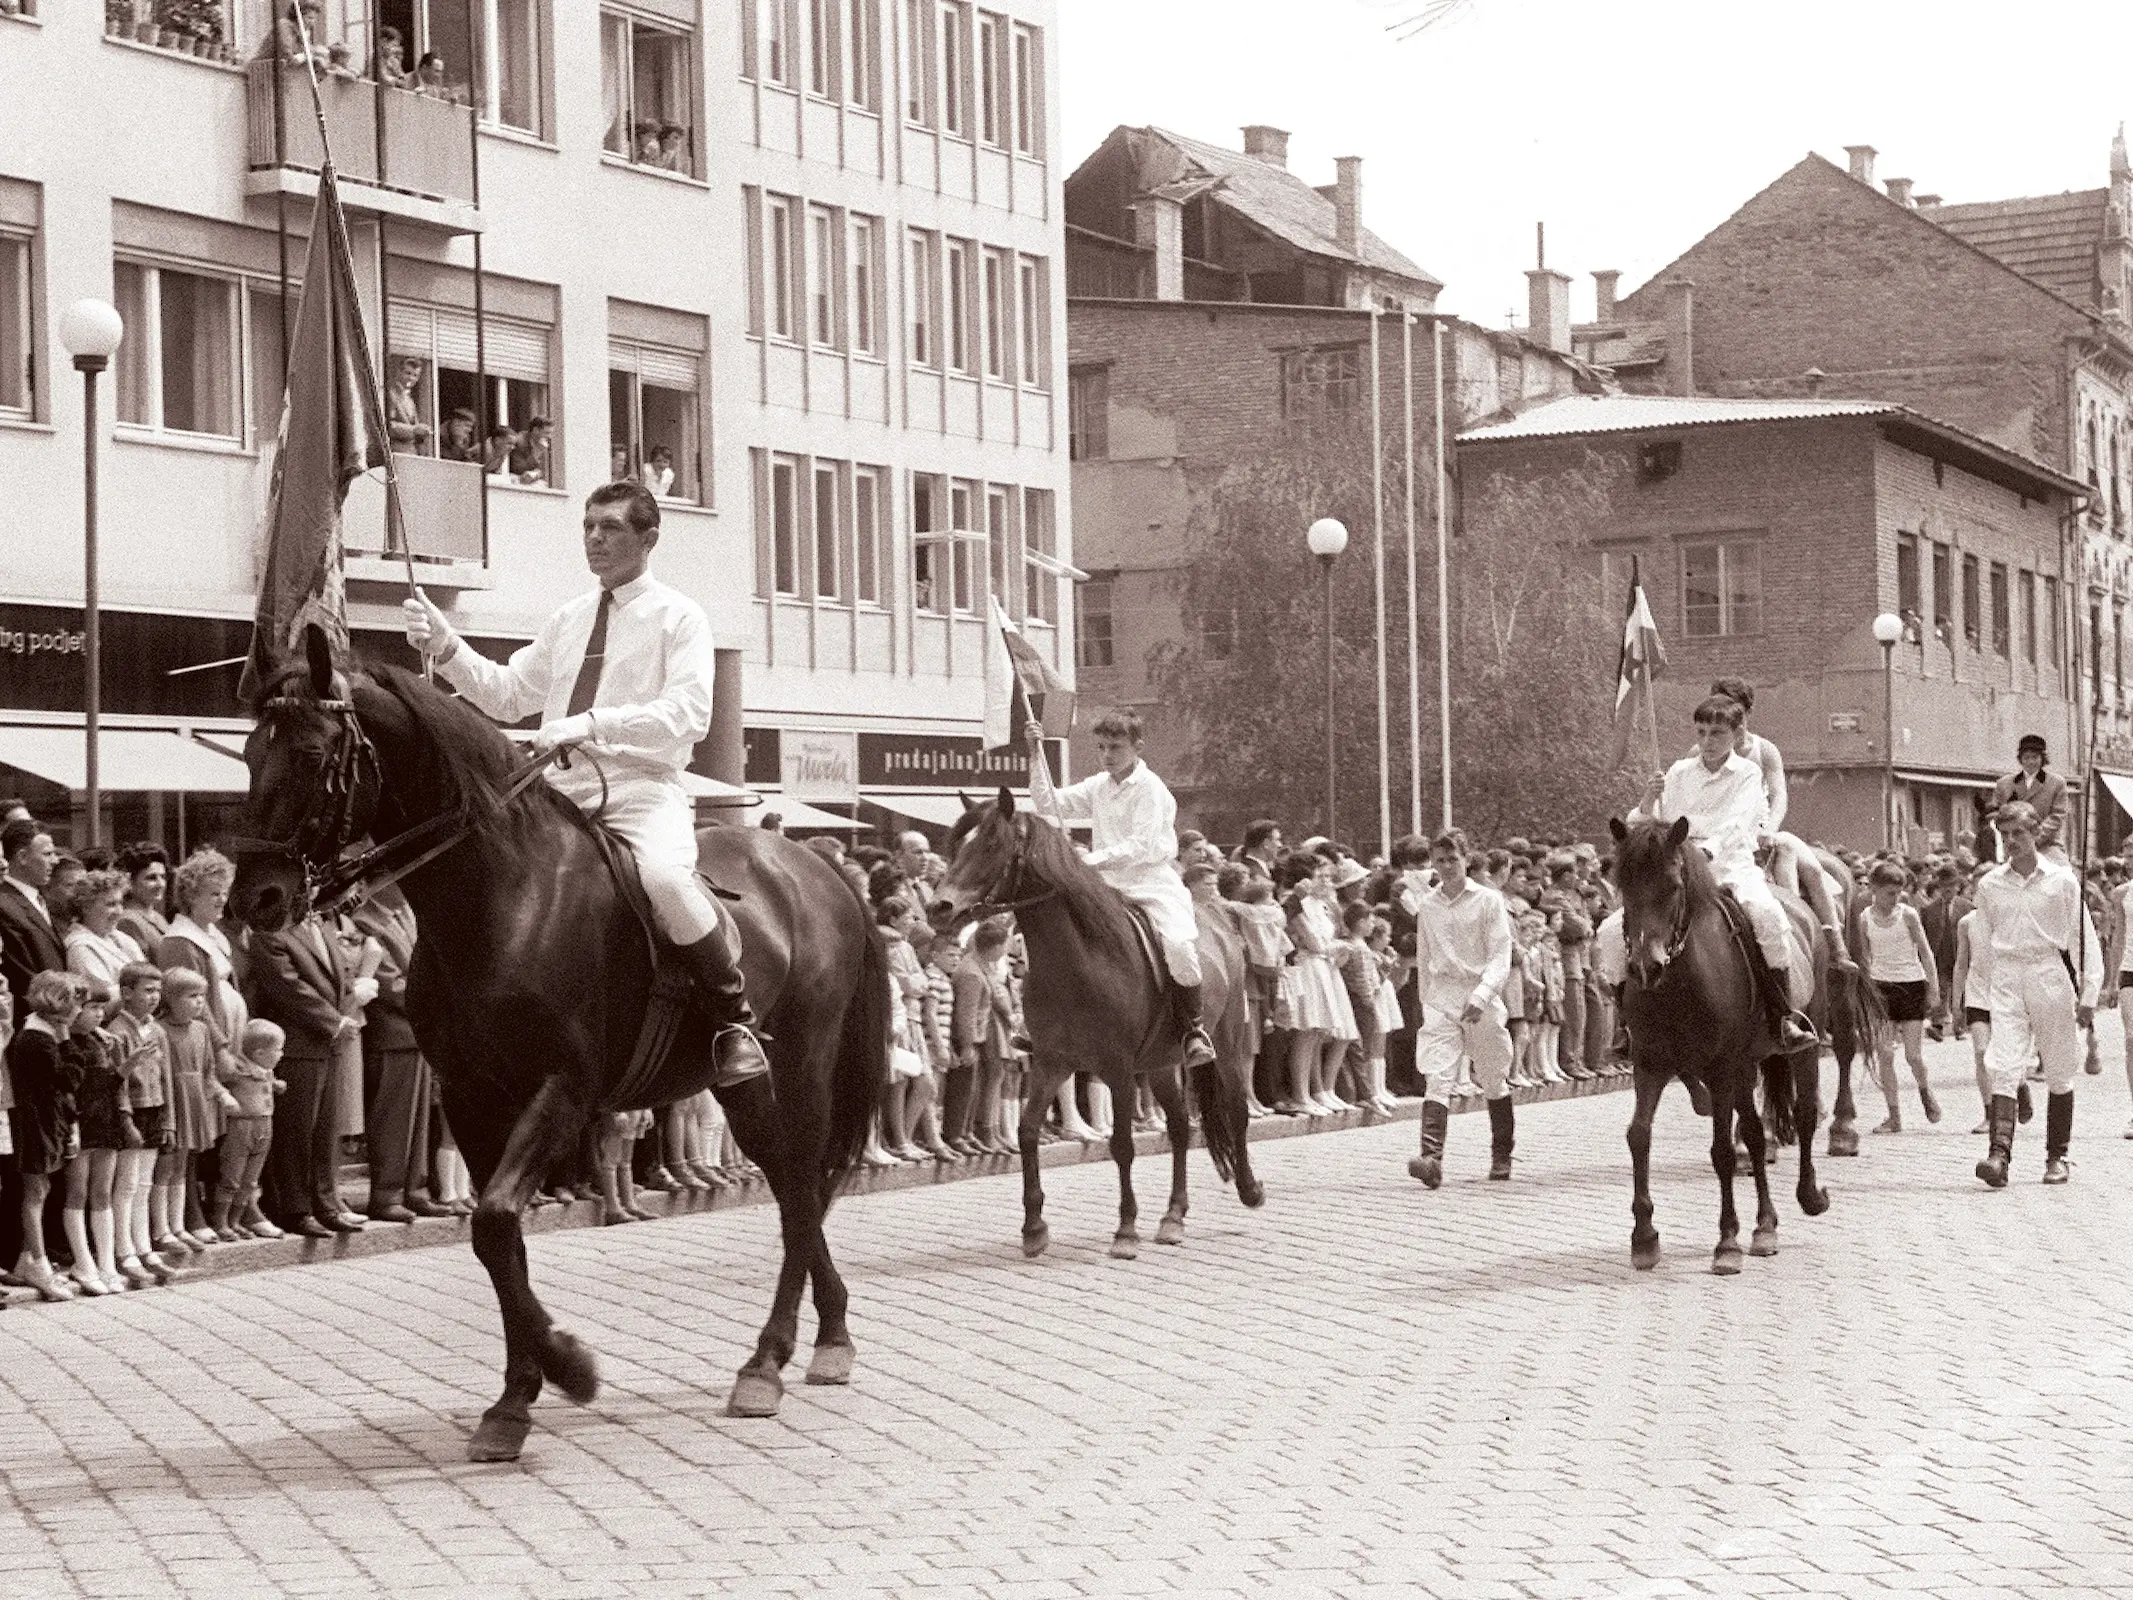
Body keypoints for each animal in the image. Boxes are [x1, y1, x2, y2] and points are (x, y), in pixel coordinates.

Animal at [237, 631, 887, 1459]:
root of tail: (820, 865)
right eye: (250, 751)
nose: (254, 897)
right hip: (742, 1088)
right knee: (792, 1185)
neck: (506, 900)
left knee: (800, 1189)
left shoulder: (562, 1090)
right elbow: (496, 1237)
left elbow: (494, 1223)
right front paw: (522, 1393)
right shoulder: (472, 1098)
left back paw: (767, 1363)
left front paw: (565, 1369)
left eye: (315, 752)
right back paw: (823, 1336)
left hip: (795, 1070)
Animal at [925, 797, 1254, 1262]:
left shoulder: (1117, 1069)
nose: (939, 908)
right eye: (954, 846)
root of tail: (1220, 919)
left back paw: (1249, 1190)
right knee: (1178, 1126)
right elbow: (1027, 1132)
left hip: (1227, 1042)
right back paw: (1173, 1217)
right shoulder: (1051, 1062)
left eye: (991, 844)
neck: (1079, 957)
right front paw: (1034, 1227)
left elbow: (1121, 1144)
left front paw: (1126, 1230)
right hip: (1160, 1064)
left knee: (1236, 1110)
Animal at [1612, 819, 1868, 1288]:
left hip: (1809, 1033)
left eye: (1674, 886)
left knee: (1807, 1111)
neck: (1680, 983)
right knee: (1753, 1130)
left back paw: (1813, 1189)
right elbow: (1639, 1135)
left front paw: (1726, 1243)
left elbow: (1722, 1153)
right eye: (1623, 884)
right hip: (1746, 1064)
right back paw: (1765, 1226)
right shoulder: (1650, 1065)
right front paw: (1644, 1237)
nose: (1644, 966)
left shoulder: (1719, 1068)